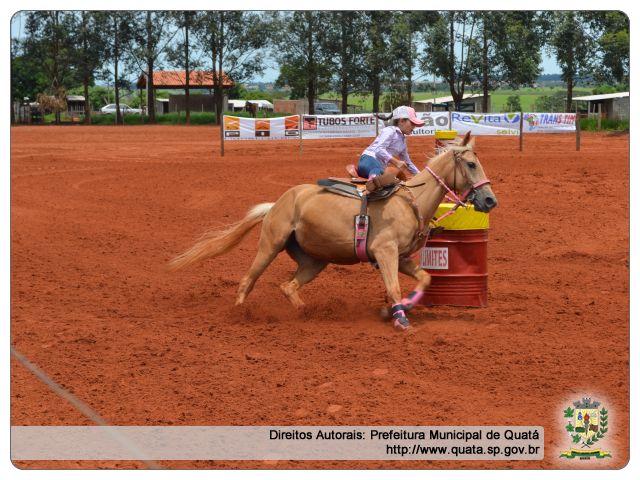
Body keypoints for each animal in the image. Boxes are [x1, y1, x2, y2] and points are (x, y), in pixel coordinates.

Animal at [168, 132, 498, 330]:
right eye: (471, 164)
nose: (490, 200)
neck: (412, 201)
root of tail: (277, 203)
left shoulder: (402, 257)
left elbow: (425, 279)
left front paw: (396, 310)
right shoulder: (385, 251)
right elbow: (393, 287)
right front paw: (400, 320)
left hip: (315, 261)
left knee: (288, 286)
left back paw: (306, 312)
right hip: (270, 245)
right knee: (248, 280)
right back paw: (239, 315)